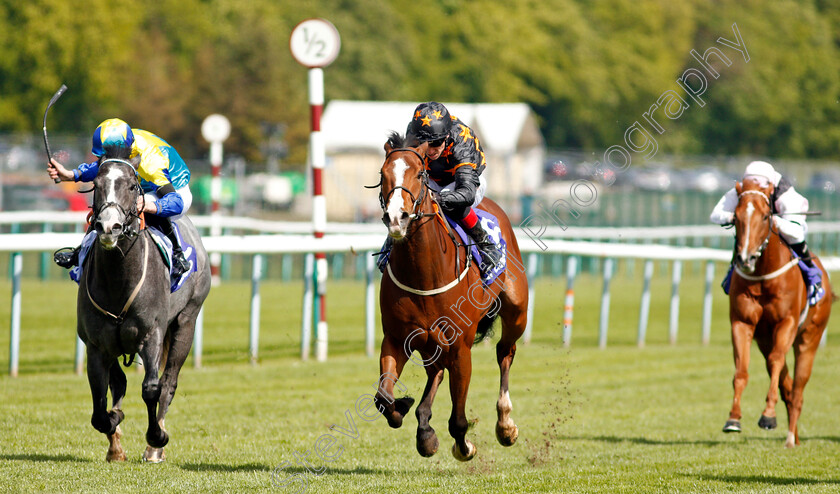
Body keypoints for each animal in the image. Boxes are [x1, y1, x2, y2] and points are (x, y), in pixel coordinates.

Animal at [79, 155, 212, 464]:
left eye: (131, 185)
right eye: (96, 184)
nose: (109, 227)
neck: (118, 280)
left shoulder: (152, 335)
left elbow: (152, 388)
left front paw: (156, 437)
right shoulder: (96, 344)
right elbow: (100, 404)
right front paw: (114, 428)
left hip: (187, 321)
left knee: (170, 381)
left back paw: (155, 448)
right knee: (119, 381)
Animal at [370, 131, 528, 460]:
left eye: (420, 173)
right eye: (382, 174)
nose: (396, 217)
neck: (424, 272)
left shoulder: (460, 348)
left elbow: (458, 419)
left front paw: (464, 447)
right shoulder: (396, 338)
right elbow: (383, 398)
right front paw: (409, 413)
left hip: (517, 312)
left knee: (505, 352)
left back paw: (505, 424)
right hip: (430, 342)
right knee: (435, 373)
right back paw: (423, 424)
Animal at [720, 178, 832, 448]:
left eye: (764, 216)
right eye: (736, 216)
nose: (745, 258)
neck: (762, 276)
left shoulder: (787, 322)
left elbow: (777, 361)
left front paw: (768, 416)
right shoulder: (742, 323)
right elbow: (741, 371)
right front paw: (733, 418)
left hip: (808, 339)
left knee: (798, 387)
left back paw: (791, 437)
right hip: (764, 340)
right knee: (787, 384)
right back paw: (795, 433)